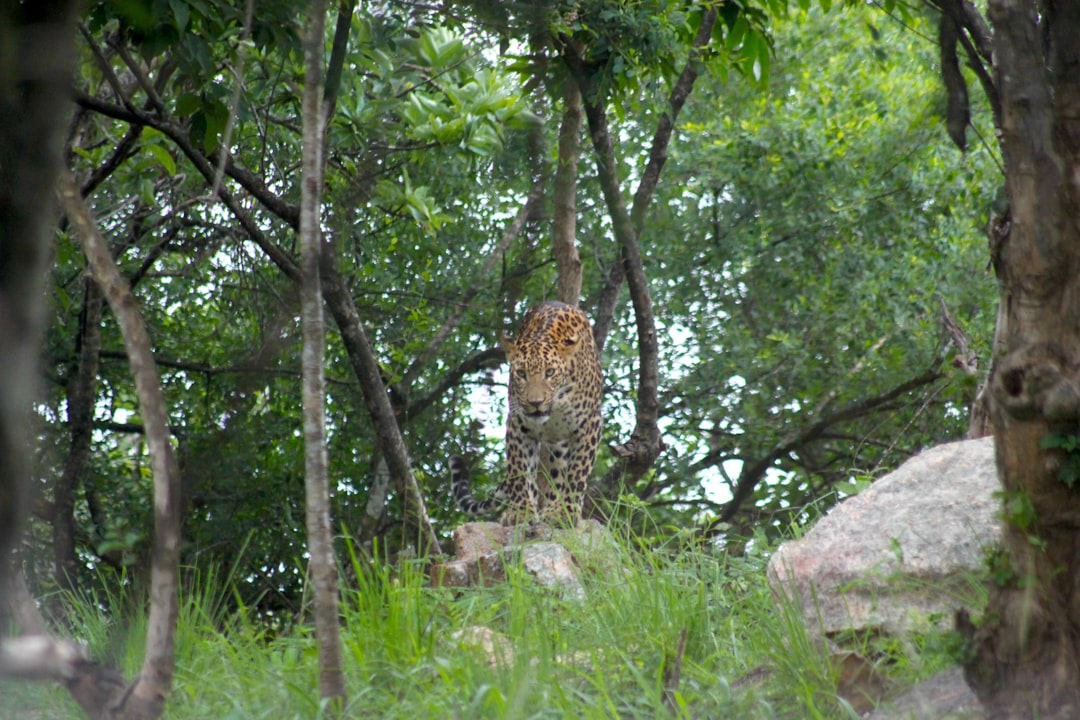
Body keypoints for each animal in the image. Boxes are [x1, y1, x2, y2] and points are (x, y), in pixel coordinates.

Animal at [451, 301, 603, 526]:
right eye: (521, 374)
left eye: (550, 372)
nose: (535, 403)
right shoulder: (518, 424)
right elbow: (519, 470)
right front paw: (520, 511)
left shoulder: (589, 424)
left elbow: (577, 472)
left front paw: (564, 511)